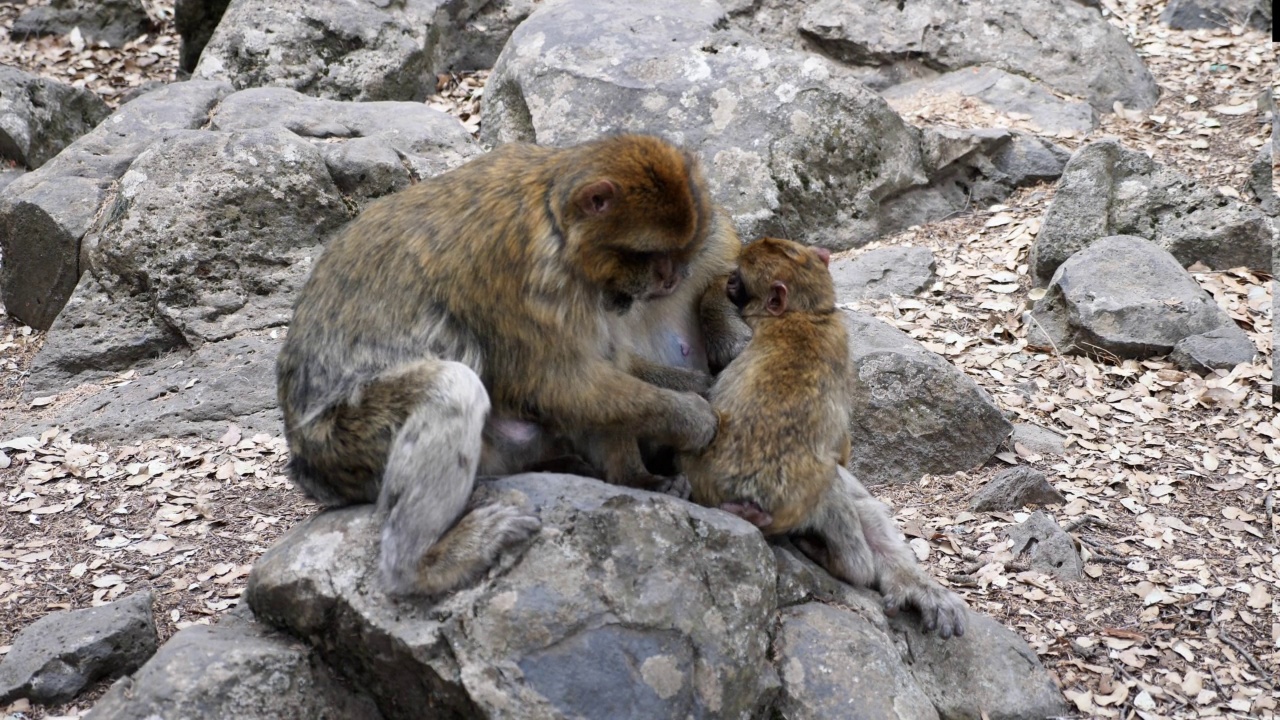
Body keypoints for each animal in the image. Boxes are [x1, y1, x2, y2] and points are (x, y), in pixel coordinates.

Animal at [284, 134, 737, 594]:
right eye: (653, 254)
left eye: (682, 252)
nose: (673, 279)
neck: (556, 219)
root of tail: (305, 463)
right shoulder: (523, 274)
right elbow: (558, 384)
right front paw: (689, 417)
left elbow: (597, 373)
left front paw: (639, 474)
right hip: (343, 442)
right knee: (454, 387)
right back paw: (421, 565)